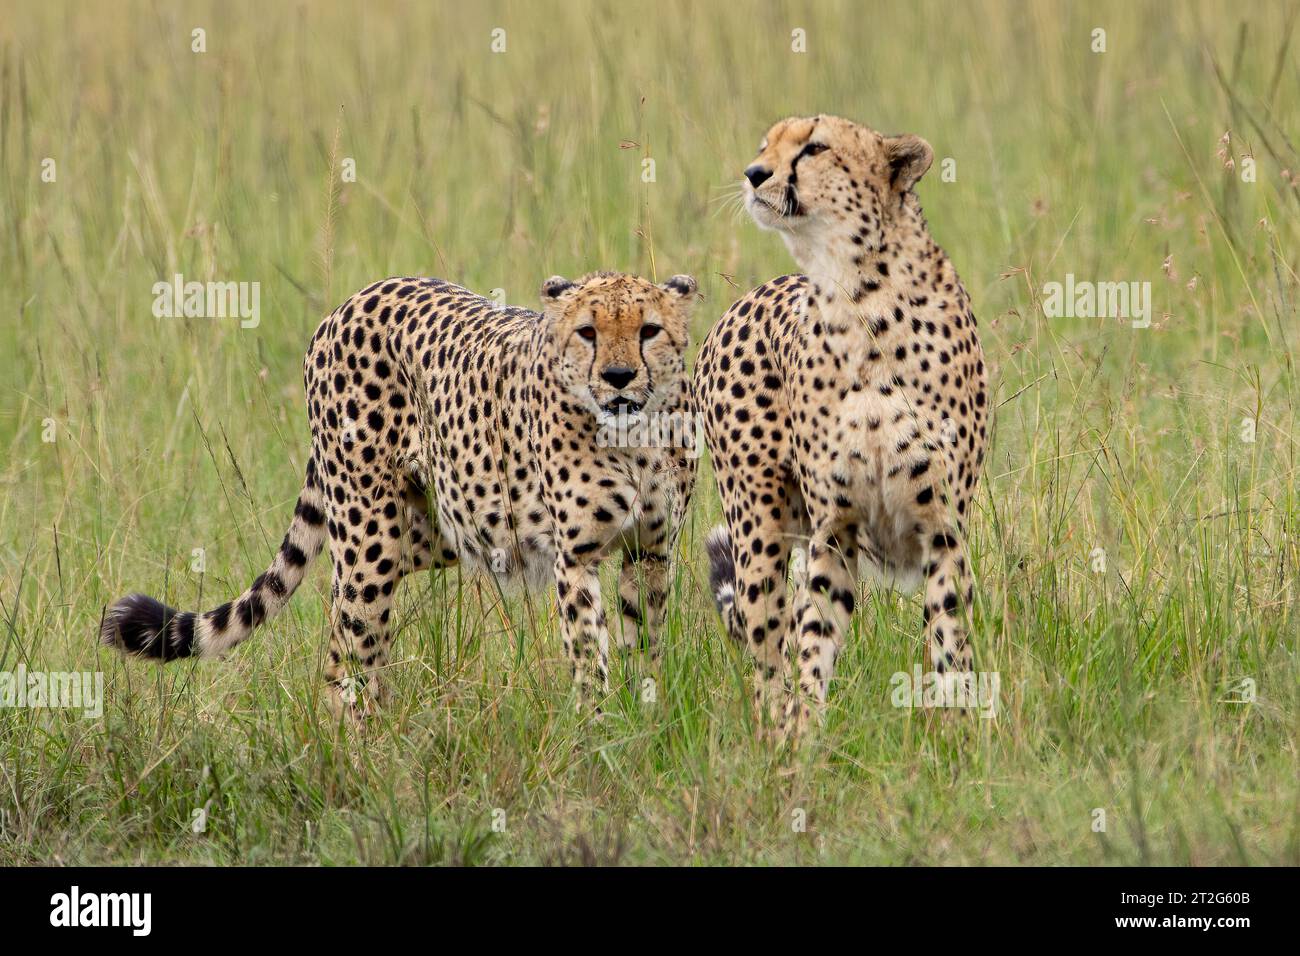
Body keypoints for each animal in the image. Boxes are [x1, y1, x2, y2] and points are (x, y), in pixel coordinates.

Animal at [101, 273, 702, 712]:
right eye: (587, 332)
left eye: (649, 330)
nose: (619, 376)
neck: (633, 439)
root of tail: (355, 299)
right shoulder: (575, 557)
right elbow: (588, 651)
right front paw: (596, 727)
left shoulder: (651, 550)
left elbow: (645, 641)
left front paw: (644, 716)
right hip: (371, 529)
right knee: (355, 632)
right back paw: (361, 744)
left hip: (440, 527)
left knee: (344, 618)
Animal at [696, 115, 987, 738]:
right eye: (765, 146)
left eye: (814, 147)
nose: (754, 173)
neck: (858, 298)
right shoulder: (835, 530)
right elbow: (812, 640)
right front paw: (801, 737)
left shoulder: (942, 527)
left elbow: (949, 634)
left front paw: (957, 732)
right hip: (758, 532)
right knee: (768, 645)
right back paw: (770, 730)